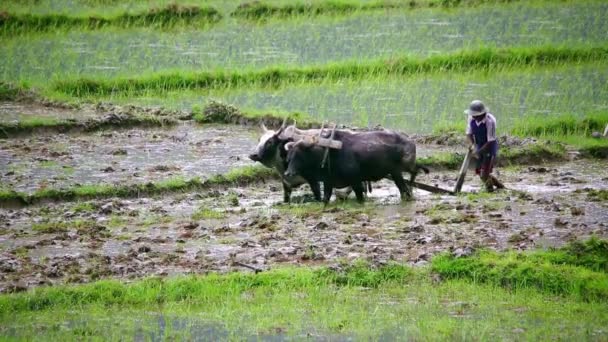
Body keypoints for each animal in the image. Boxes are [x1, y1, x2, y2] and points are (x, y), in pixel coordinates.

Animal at [284, 128, 428, 203]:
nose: (288, 173)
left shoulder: (355, 181)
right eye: (289, 156)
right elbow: (325, 198)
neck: (328, 154)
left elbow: (360, 196)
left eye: (299, 156)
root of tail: (410, 141)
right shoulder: (328, 182)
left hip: (403, 167)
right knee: (404, 189)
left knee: (413, 174)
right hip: (395, 173)